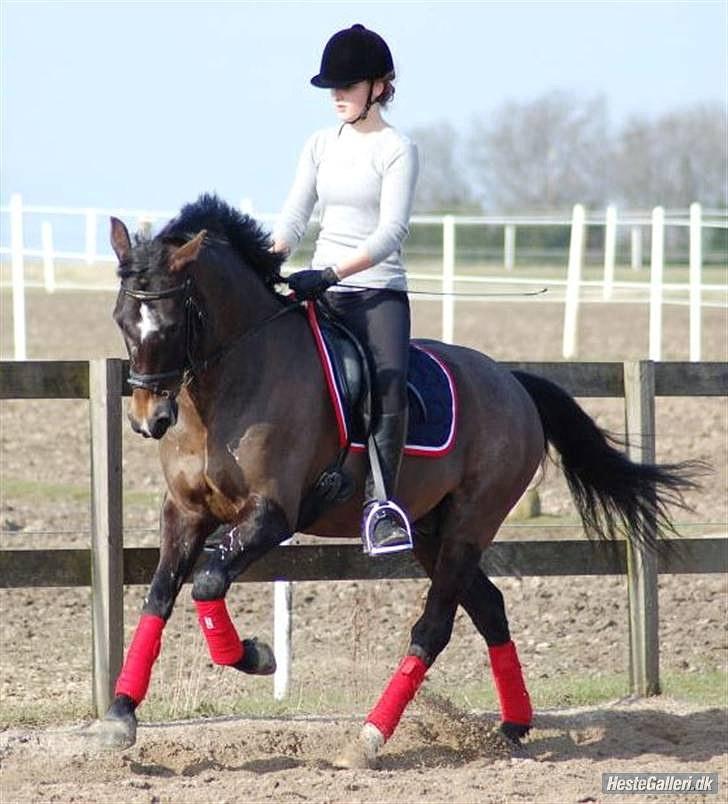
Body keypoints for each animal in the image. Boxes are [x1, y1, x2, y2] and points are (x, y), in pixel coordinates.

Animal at [86, 194, 699, 768]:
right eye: (120, 318)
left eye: (169, 325)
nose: (148, 420)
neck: (227, 388)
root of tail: (513, 383)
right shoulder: (185, 512)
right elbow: (161, 594)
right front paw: (119, 716)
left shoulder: (272, 515)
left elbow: (208, 583)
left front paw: (256, 655)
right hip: (431, 531)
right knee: (489, 607)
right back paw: (512, 726)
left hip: (469, 526)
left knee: (434, 627)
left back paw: (369, 738)